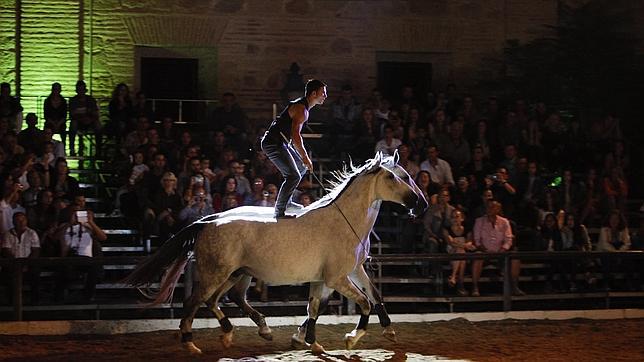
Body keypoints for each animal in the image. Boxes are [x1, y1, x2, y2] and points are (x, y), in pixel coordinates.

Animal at [126, 153, 428, 354]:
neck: (345, 221)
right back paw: (192, 345)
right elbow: (364, 303)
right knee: (193, 303)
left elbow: (344, 302)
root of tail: (208, 221)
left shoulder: (345, 272)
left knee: (220, 300)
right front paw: (351, 337)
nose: (421, 204)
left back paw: (241, 333)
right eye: (394, 176)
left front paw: (312, 341)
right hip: (214, 274)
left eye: (406, 175)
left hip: (237, 274)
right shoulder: (336, 278)